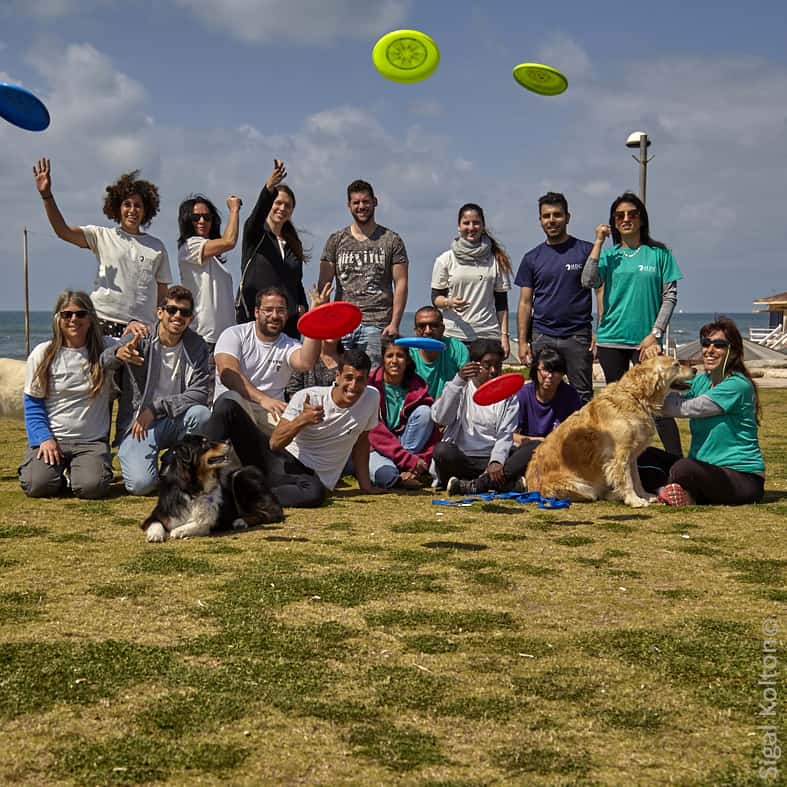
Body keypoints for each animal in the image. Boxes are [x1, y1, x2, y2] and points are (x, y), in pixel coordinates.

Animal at [528, 356, 692, 508]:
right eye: (676, 365)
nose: (695, 370)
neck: (635, 397)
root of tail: (531, 489)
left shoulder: (632, 455)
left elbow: (636, 479)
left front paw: (644, 495)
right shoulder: (619, 454)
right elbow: (627, 480)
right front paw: (634, 500)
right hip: (580, 486)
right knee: (593, 494)